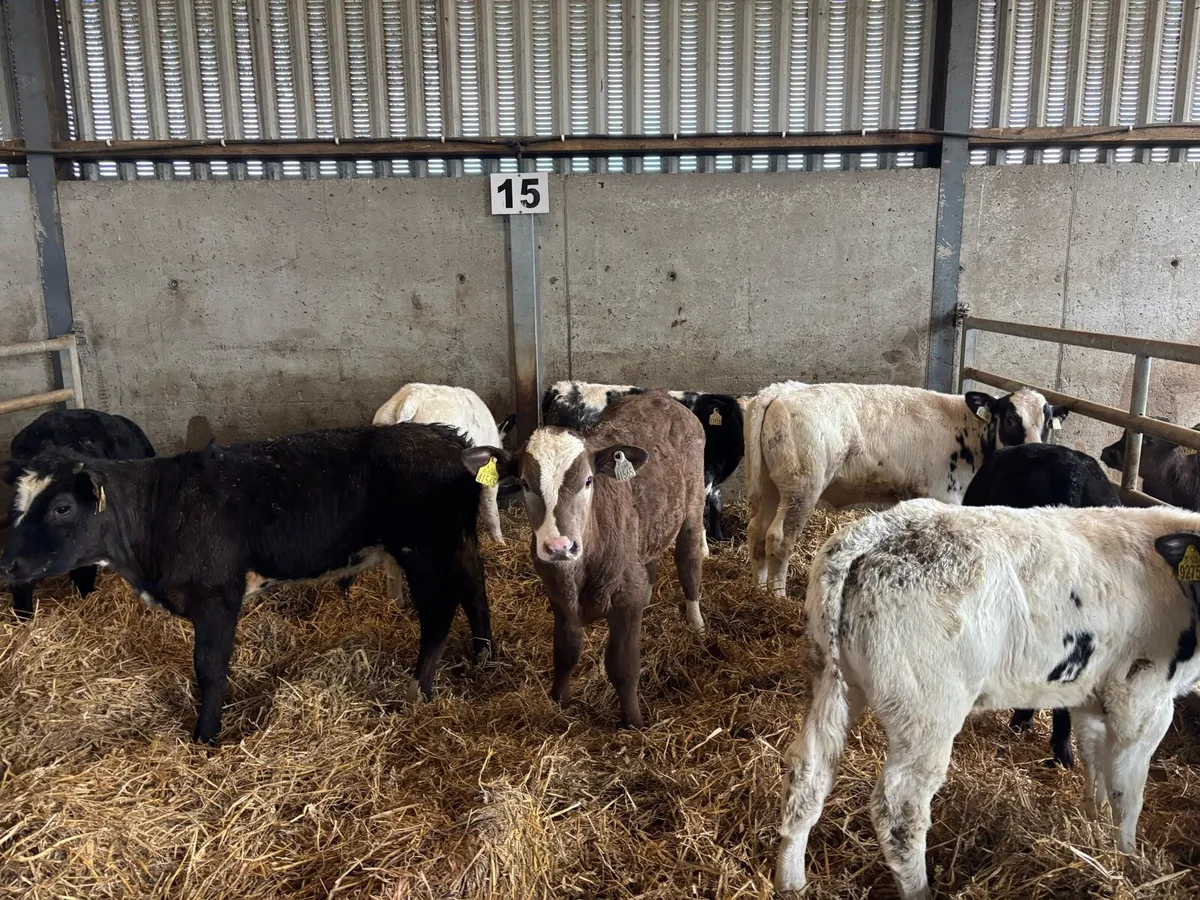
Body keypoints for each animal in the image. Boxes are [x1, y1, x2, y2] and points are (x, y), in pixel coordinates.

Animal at [465, 390, 707, 728]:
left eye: (589, 480)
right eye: (525, 484)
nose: (559, 546)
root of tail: (659, 396)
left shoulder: (625, 601)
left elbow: (622, 665)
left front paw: (633, 723)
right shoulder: (557, 594)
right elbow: (566, 652)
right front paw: (558, 701)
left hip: (693, 504)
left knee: (689, 559)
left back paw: (696, 623)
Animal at [743, 382, 1068, 596]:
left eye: (1047, 423)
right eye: (1011, 419)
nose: (1034, 449)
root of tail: (781, 391)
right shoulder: (945, 495)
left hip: (771, 485)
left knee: (757, 530)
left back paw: (758, 589)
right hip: (802, 487)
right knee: (779, 538)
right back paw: (777, 596)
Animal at [775, 500, 1200, 899]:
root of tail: (876, 531)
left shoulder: (1092, 697)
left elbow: (1096, 767)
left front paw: (1094, 833)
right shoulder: (1143, 698)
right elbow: (1127, 791)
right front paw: (1128, 861)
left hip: (831, 681)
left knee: (807, 774)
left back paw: (791, 883)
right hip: (928, 712)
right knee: (899, 808)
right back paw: (919, 889)